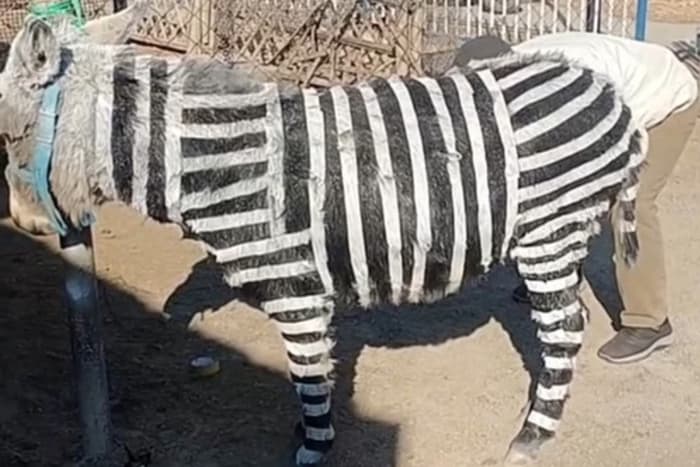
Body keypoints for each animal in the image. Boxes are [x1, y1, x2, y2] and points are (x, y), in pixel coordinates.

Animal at [1, 17, 645, 466]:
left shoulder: (298, 291)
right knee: (572, 319)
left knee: (564, 328)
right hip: (561, 235)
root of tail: (607, 92)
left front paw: (313, 446)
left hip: (549, 232)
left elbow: (307, 375)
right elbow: (317, 373)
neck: (223, 161)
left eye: (9, 134)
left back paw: (532, 434)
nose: (28, 227)